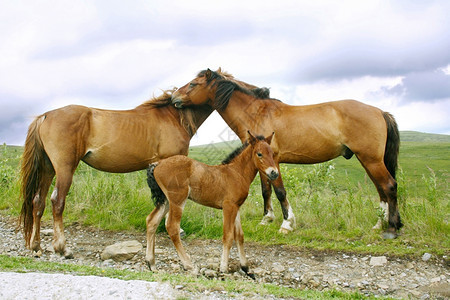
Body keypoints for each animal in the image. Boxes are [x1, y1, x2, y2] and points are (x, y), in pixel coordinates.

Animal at [18, 89, 213, 258]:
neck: (173, 117)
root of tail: (45, 116)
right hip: (64, 168)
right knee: (57, 201)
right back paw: (62, 248)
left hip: (47, 168)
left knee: (38, 201)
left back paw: (36, 246)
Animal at [146, 131, 278, 274]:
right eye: (259, 153)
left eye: (272, 153)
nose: (274, 173)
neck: (236, 173)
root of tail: (157, 164)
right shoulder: (228, 207)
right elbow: (228, 236)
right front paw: (224, 268)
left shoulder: (236, 207)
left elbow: (240, 236)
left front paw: (246, 268)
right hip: (177, 200)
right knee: (172, 227)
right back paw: (188, 264)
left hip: (166, 201)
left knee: (152, 221)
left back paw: (151, 263)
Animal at [171, 69, 402, 238]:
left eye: (193, 84)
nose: (173, 97)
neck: (258, 113)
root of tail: (380, 111)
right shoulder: (262, 162)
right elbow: (266, 191)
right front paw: (267, 219)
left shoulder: (275, 160)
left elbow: (280, 191)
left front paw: (287, 224)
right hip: (368, 160)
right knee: (381, 190)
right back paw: (379, 225)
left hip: (371, 160)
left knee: (389, 186)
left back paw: (391, 229)